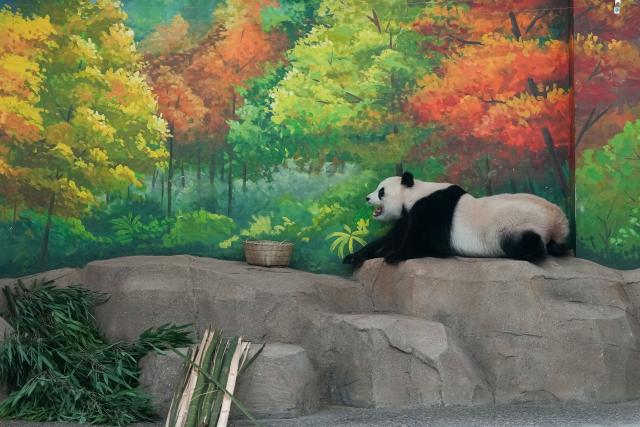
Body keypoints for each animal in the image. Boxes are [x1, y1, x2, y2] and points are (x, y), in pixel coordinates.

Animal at [343, 172, 570, 266]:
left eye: (381, 191)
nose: (367, 198)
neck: (413, 194)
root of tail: (557, 221)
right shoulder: (408, 216)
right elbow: (391, 238)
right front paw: (354, 257)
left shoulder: (432, 210)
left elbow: (430, 242)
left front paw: (394, 255)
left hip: (515, 226)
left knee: (527, 242)